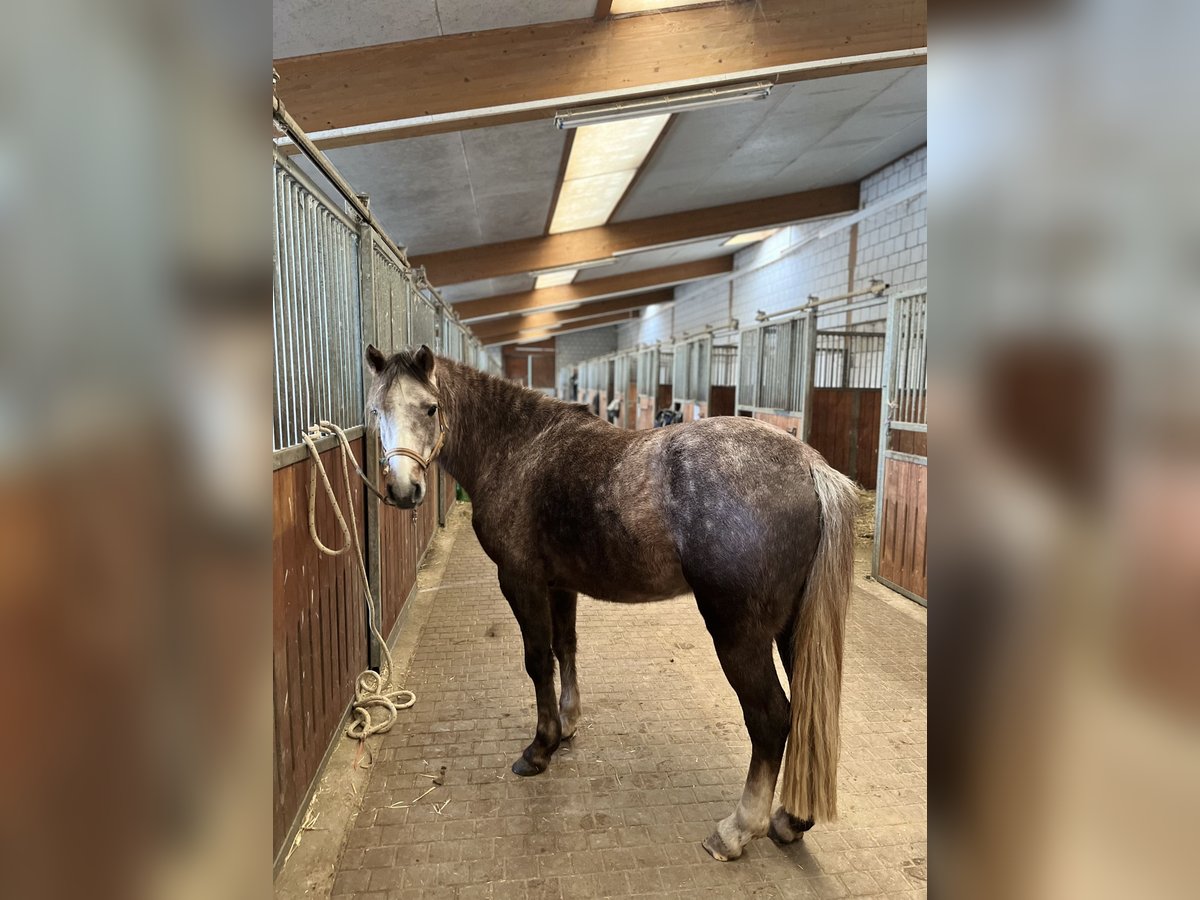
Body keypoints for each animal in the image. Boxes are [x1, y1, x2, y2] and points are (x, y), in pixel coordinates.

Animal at [360, 345, 859, 868]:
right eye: (375, 411)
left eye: (430, 408)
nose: (402, 490)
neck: (518, 450)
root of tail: (808, 465)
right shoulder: (559, 585)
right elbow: (565, 647)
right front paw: (568, 724)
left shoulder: (520, 581)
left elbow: (537, 660)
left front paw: (540, 748)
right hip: (791, 628)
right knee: (806, 715)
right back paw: (791, 821)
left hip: (739, 635)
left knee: (771, 718)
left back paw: (737, 830)